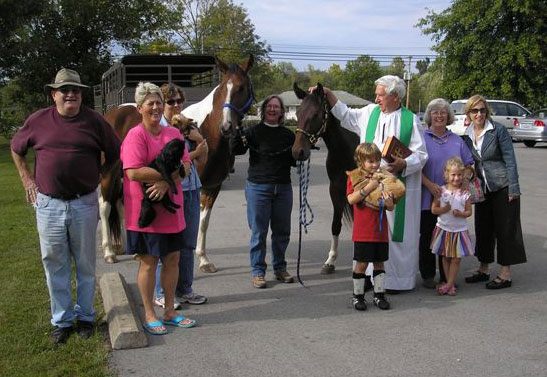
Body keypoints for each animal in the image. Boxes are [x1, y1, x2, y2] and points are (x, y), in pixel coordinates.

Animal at [99, 54, 255, 270]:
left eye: (242, 88)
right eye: (224, 88)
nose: (226, 126)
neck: (207, 131)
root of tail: (112, 114)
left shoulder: (212, 186)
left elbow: (203, 222)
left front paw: (203, 259)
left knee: (122, 205)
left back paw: (130, 250)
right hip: (108, 173)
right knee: (104, 207)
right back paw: (109, 252)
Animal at [292, 83, 360, 274]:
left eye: (316, 114)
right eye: (297, 113)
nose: (298, 152)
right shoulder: (336, 189)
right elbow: (335, 225)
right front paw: (330, 261)